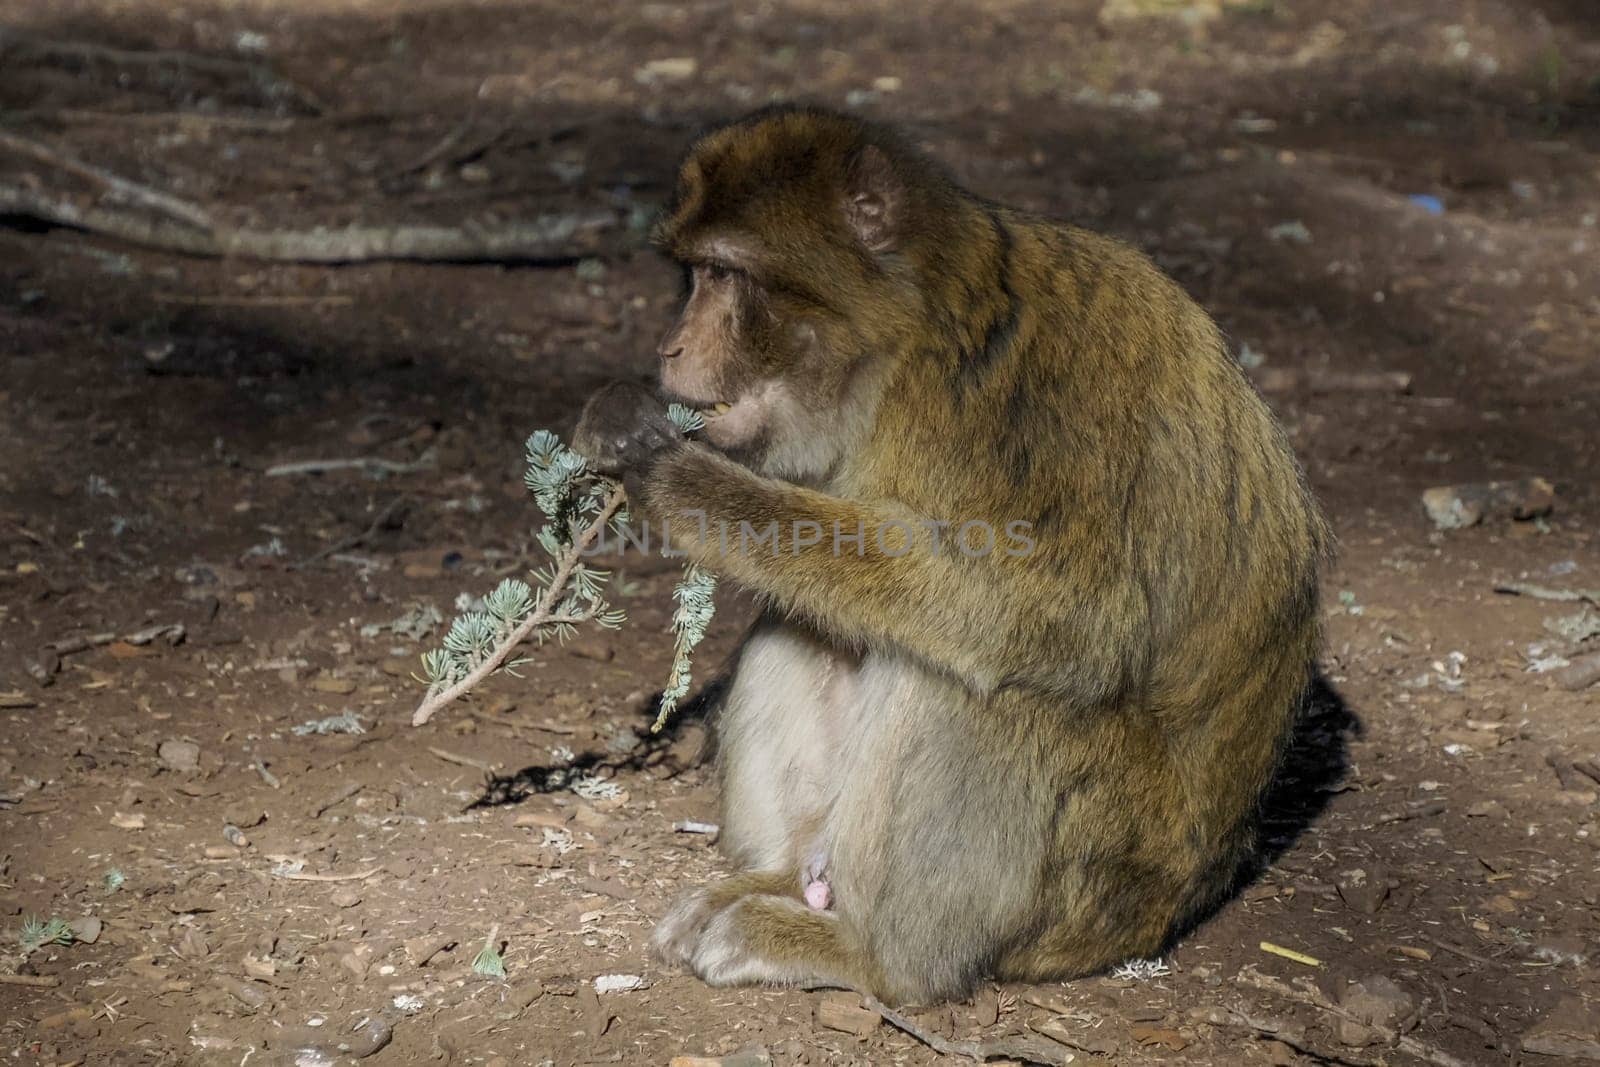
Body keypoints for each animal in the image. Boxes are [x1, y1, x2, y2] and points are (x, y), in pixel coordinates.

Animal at [572, 103, 1324, 1004]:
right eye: (688, 274)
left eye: (722, 273)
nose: (671, 347)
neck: (908, 347)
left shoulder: (1045, 395)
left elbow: (1071, 614)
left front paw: (678, 480)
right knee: (807, 623)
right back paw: (787, 881)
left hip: (1098, 890)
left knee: (989, 685)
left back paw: (875, 957)